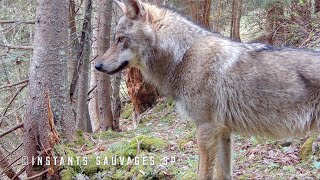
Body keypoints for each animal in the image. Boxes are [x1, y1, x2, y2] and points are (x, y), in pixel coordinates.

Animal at [94, 0, 320, 179]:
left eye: (120, 38)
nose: (96, 65)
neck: (184, 55)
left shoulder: (206, 128)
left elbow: (203, 174)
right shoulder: (224, 131)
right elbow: (224, 173)